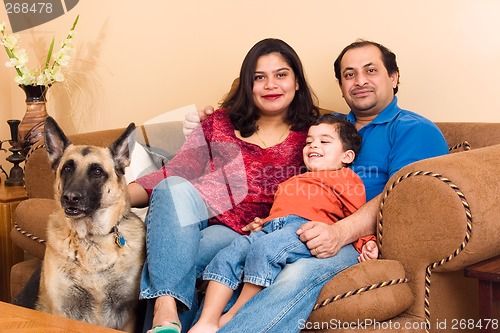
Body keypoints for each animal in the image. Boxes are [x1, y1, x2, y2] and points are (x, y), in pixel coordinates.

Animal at [36, 116, 146, 330]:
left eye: (96, 172)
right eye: (67, 168)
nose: (70, 198)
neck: (91, 239)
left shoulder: (127, 315)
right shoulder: (62, 312)